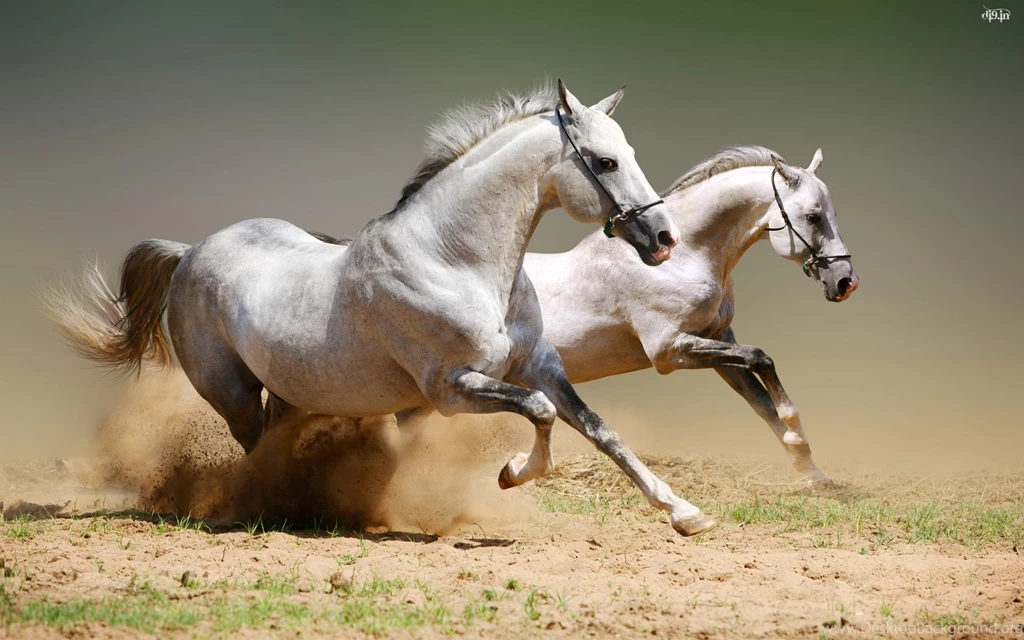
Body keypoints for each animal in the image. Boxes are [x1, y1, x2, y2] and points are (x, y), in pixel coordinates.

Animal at [46, 80, 720, 537]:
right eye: (605, 161)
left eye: (627, 151)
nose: (663, 238)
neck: (455, 260)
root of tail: (190, 252)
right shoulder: (451, 389)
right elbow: (541, 413)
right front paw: (510, 472)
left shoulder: (539, 366)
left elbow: (599, 430)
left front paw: (685, 513)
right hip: (231, 392)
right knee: (254, 448)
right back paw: (263, 507)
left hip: (289, 390)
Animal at [526, 147, 858, 487]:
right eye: (813, 217)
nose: (846, 282)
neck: (681, 259)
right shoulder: (669, 351)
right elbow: (760, 358)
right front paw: (796, 434)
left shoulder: (717, 340)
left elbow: (762, 403)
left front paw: (813, 472)